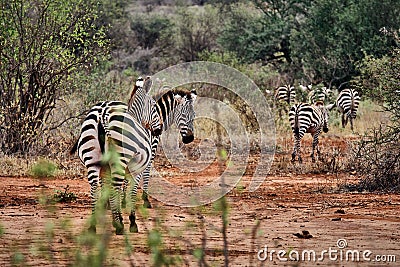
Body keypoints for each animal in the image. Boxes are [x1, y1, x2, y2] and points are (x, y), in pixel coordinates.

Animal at [70, 77, 162, 234]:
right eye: (154, 107)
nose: (160, 130)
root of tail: (102, 114)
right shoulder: (135, 170)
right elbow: (131, 192)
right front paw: (131, 222)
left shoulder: (107, 170)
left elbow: (111, 191)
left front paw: (116, 218)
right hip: (119, 160)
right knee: (114, 187)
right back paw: (119, 227)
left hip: (92, 161)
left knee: (95, 188)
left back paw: (93, 226)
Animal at [126, 89, 197, 233]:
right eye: (183, 115)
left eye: (194, 115)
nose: (190, 139)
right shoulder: (151, 147)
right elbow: (147, 171)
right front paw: (145, 199)